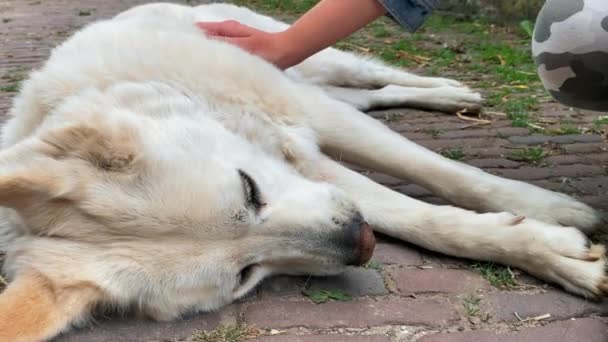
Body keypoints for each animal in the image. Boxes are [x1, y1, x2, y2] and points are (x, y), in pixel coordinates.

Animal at [0, 3, 604, 342]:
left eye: (249, 189)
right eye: (244, 276)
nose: (362, 244)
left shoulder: (306, 121)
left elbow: (440, 174)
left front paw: (552, 210)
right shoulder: (315, 170)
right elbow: (424, 220)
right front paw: (553, 252)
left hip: (308, 60)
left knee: (370, 72)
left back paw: (450, 91)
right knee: (372, 94)